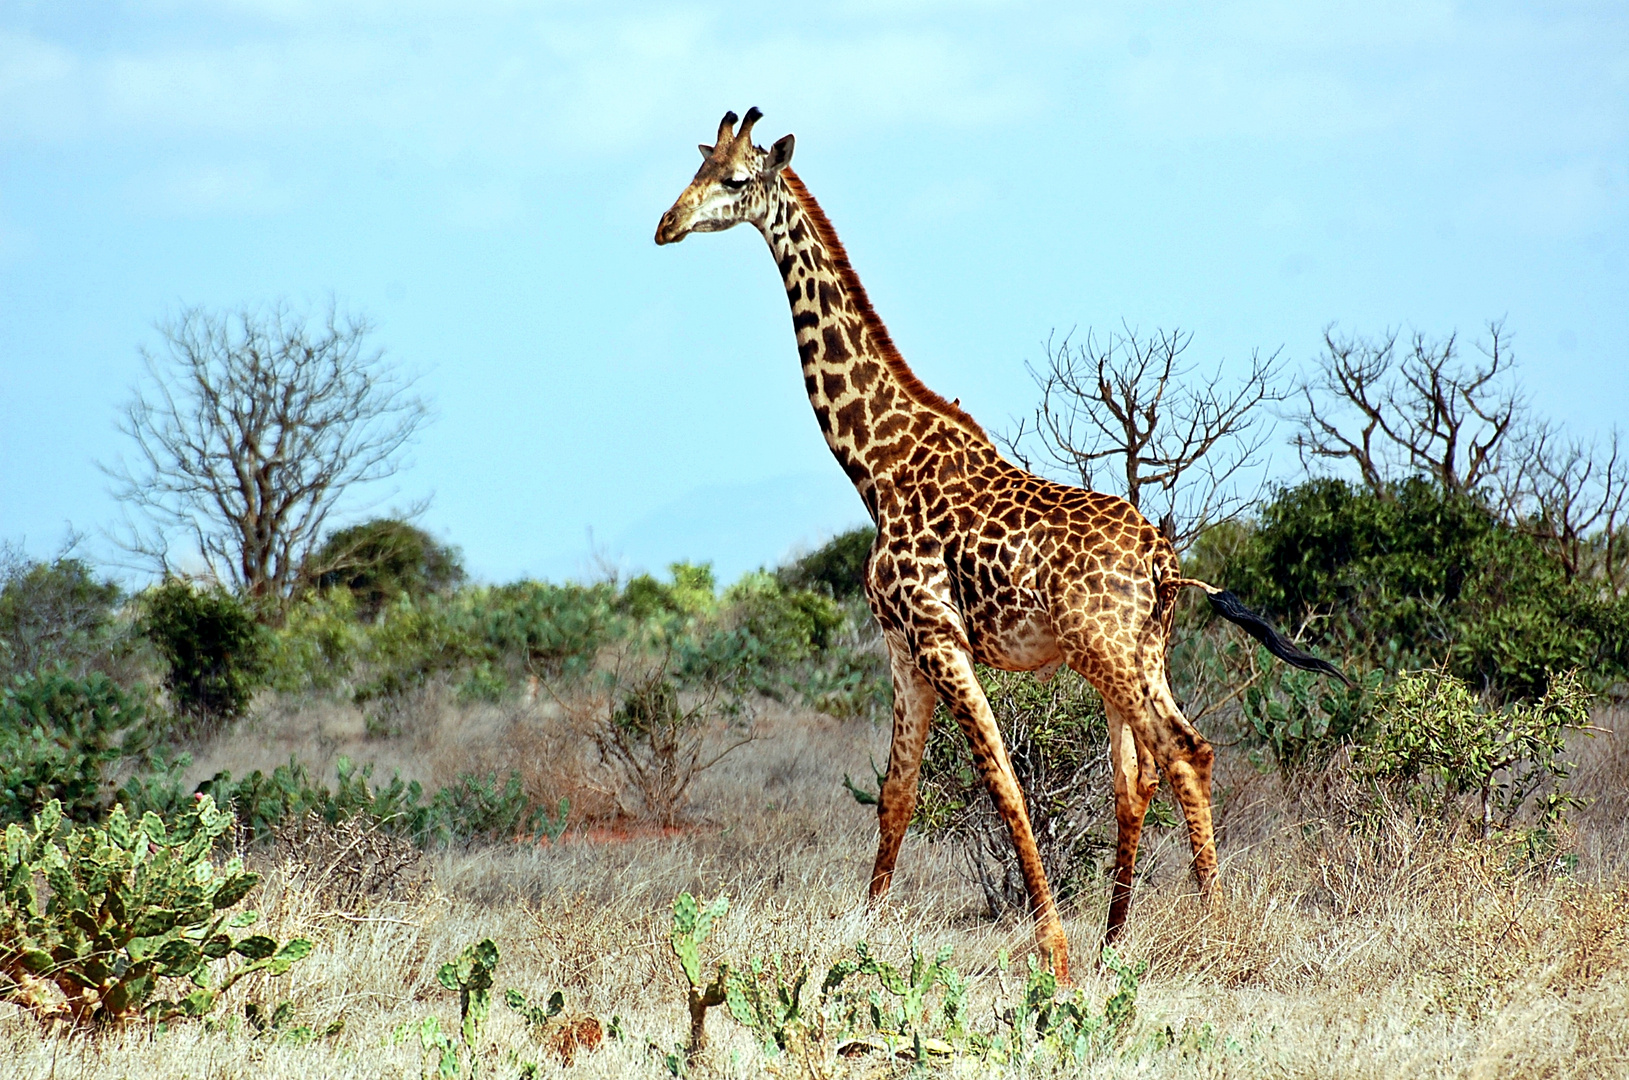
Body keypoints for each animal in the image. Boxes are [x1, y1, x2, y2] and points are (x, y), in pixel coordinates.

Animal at [654, 107, 1342, 977]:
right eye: (696, 167)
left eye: (735, 178)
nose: (666, 224)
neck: (875, 462)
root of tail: (1164, 563)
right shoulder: (900, 643)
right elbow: (897, 794)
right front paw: (861, 938)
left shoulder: (937, 635)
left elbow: (1002, 782)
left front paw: (1052, 952)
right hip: (1139, 652)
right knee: (1141, 775)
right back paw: (1120, 937)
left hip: (1103, 651)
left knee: (1184, 752)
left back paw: (1212, 931)